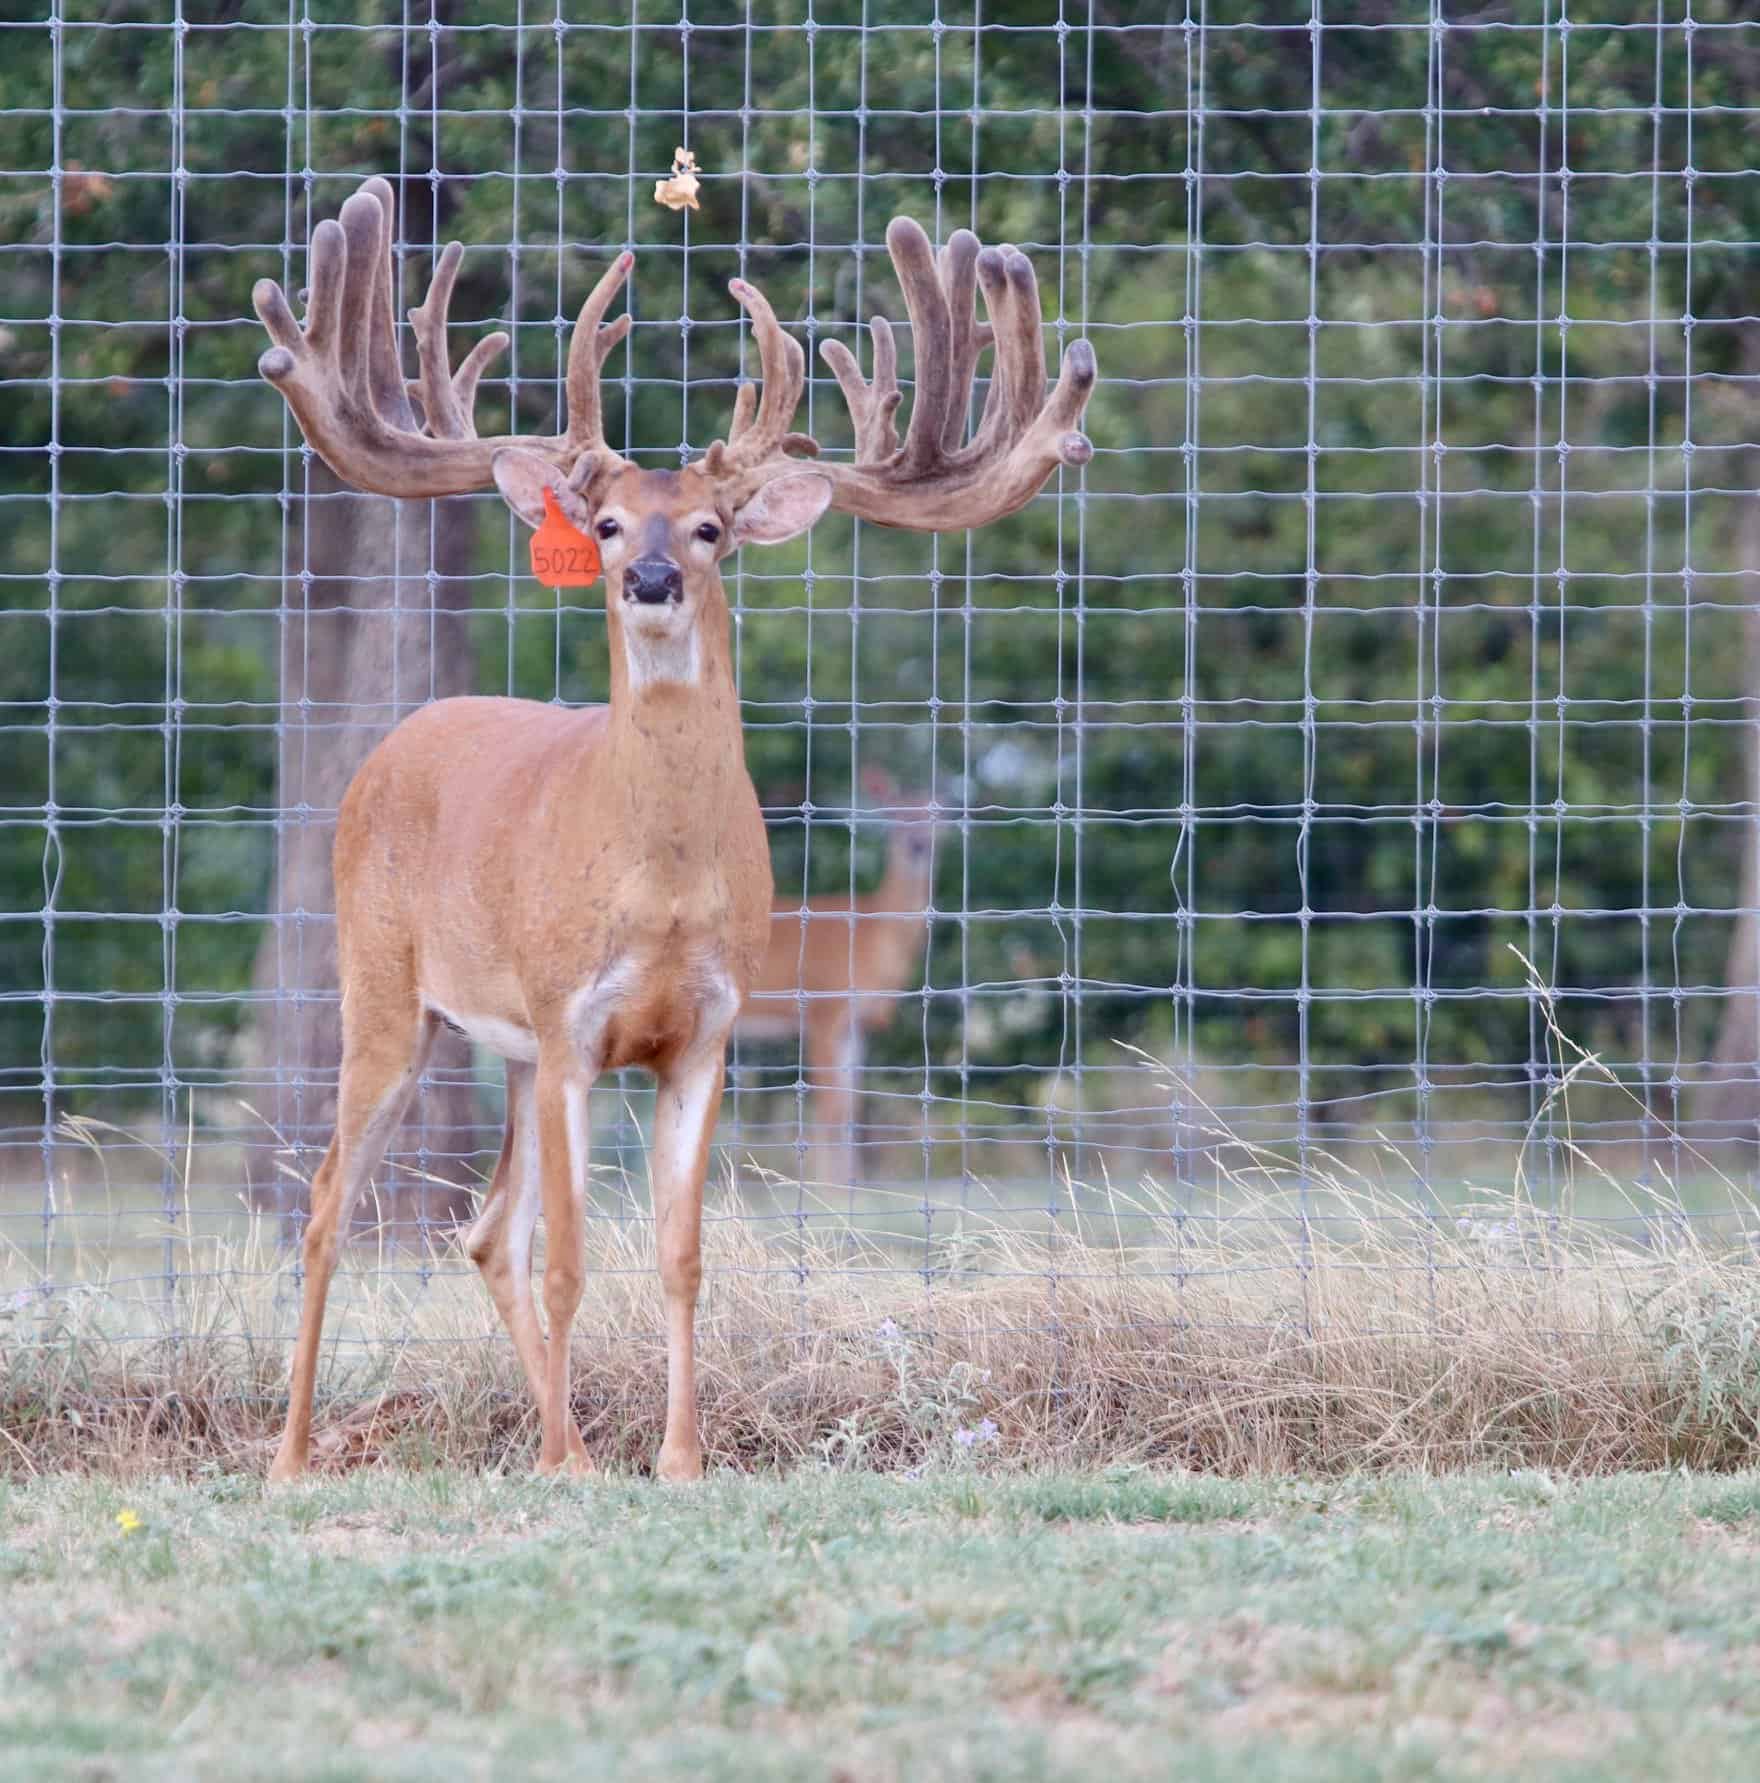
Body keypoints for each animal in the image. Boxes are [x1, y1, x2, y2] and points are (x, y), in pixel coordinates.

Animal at [737, 770, 941, 1184]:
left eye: (936, 813)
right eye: (895, 813)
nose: (917, 845)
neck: (871, 937)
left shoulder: (853, 1023)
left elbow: (850, 1106)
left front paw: (850, 1185)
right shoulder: (822, 1006)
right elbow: (830, 1108)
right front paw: (824, 1187)